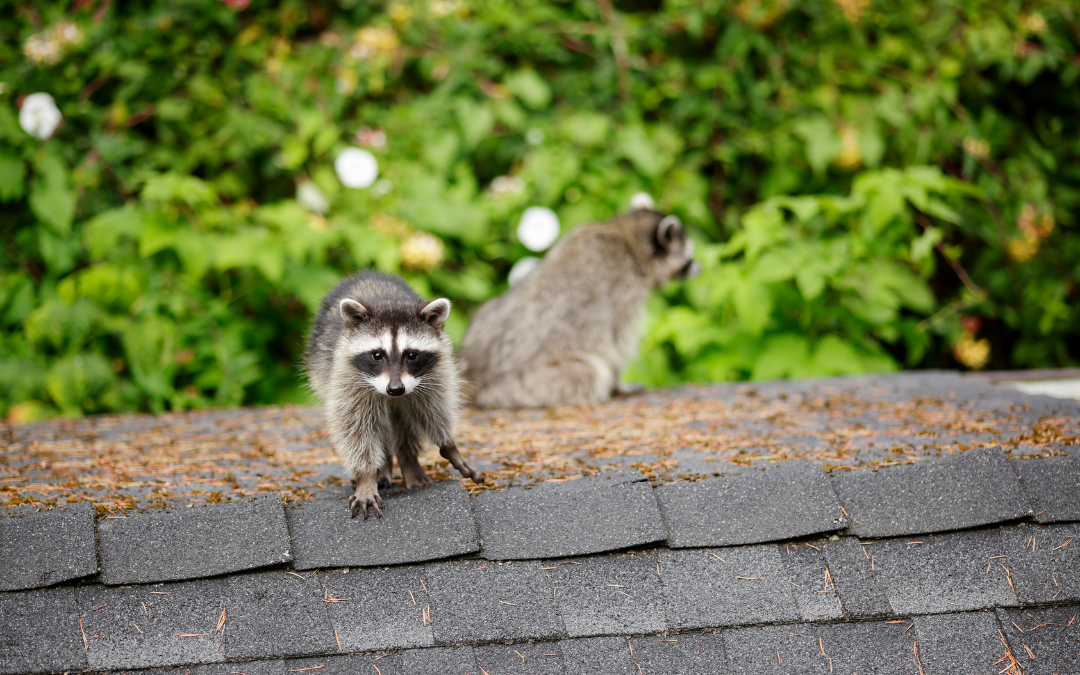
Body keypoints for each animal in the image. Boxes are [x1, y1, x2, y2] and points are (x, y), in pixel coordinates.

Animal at [304, 268, 481, 516]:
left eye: (412, 355)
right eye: (377, 355)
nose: (395, 389)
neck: (389, 302)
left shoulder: (435, 374)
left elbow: (435, 409)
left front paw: (449, 445)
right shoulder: (346, 377)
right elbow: (355, 428)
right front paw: (366, 477)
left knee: (404, 423)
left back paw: (408, 462)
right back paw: (383, 467)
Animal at [457, 206, 695, 406]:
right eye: (689, 256)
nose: (698, 267)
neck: (625, 231)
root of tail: (474, 375)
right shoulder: (624, 288)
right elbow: (617, 342)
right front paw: (618, 383)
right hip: (524, 384)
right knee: (589, 372)